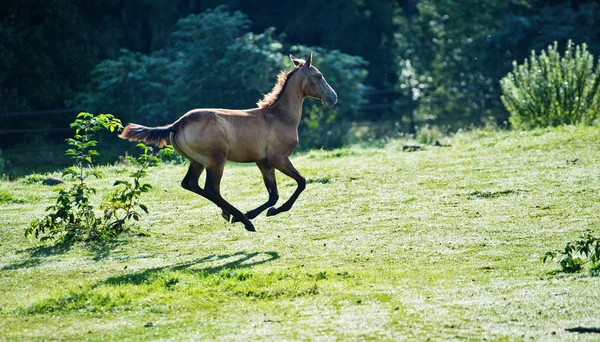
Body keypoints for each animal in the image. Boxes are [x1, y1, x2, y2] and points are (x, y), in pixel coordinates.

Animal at [119, 51, 338, 232]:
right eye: (319, 76)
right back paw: (244, 221)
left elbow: (273, 195)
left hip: (198, 161)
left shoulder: (263, 162)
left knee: (190, 184)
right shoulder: (279, 159)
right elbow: (301, 182)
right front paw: (266, 212)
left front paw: (260, 212)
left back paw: (231, 214)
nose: (333, 97)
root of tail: (177, 123)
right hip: (217, 161)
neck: (279, 116)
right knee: (211, 189)